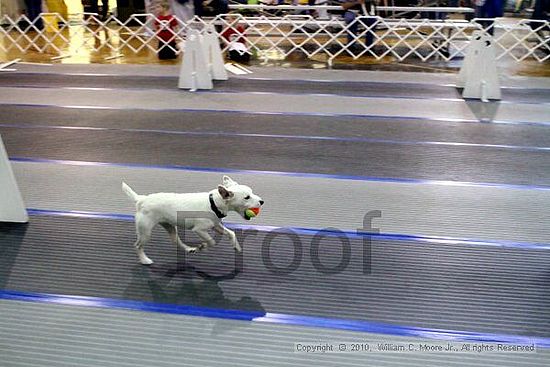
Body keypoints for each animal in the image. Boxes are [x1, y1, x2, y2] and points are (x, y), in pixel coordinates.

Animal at [123, 177, 266, 266]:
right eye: (247, 197)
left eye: (252, 193)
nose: (262, 201)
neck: (213, 204)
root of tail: (141, 199)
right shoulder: (199, 230)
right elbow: (212, 241)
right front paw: (203, 246)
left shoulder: (217, 226)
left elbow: (231, 233)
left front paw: (236, 246)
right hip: (145, 232)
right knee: (137, 246)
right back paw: (144, 260)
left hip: (170, 227)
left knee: (176, 240)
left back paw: (189, 249)